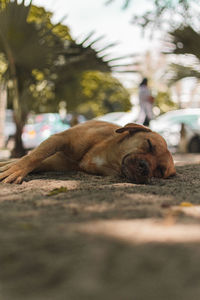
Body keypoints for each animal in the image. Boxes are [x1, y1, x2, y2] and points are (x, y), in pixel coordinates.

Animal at [0, 120, 175, 184]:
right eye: (149, 144)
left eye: (159, 171)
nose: (144, 168)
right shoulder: (60, 139)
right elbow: (33, 157)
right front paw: (17, 170)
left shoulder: (54, 163)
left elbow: (35, 160)